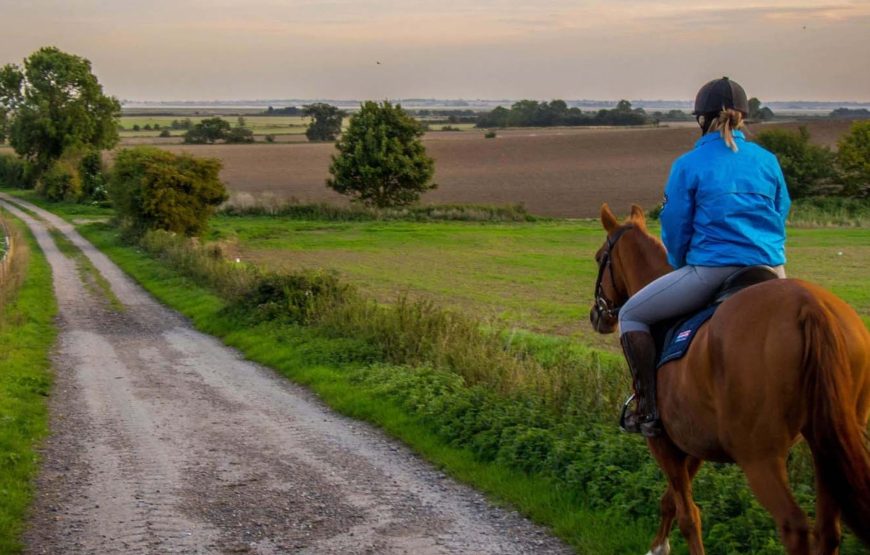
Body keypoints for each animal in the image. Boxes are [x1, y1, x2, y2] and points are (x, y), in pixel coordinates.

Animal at [588, 204, 868, 555]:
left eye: (600, 257)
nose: (596, 316)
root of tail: (810, 307)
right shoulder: (694, 440)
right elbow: (671, 501)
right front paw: (658, 545)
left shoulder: (663, 442)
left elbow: (688, 515)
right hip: (827, 446)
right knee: (828, 531)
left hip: (760, 456)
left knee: (795, 527)